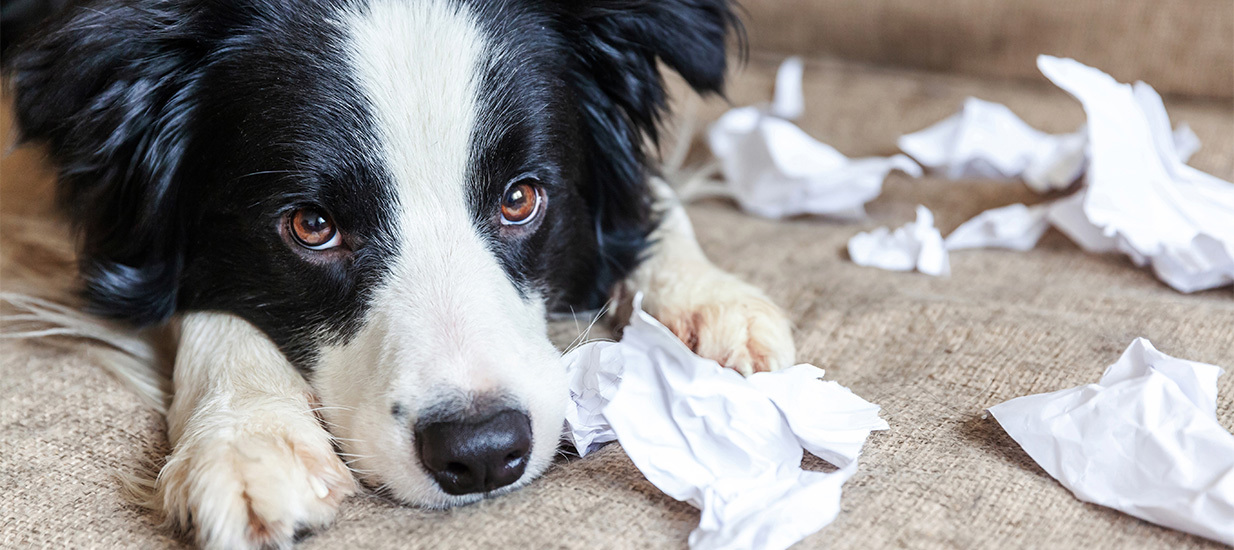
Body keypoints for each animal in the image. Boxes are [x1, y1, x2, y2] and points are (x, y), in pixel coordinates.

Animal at [4, 0, 794, 545]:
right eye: (311, 225)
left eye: (520, 199)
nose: (482, 454)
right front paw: (245, 442)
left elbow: (646, 192)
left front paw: (710, 303)